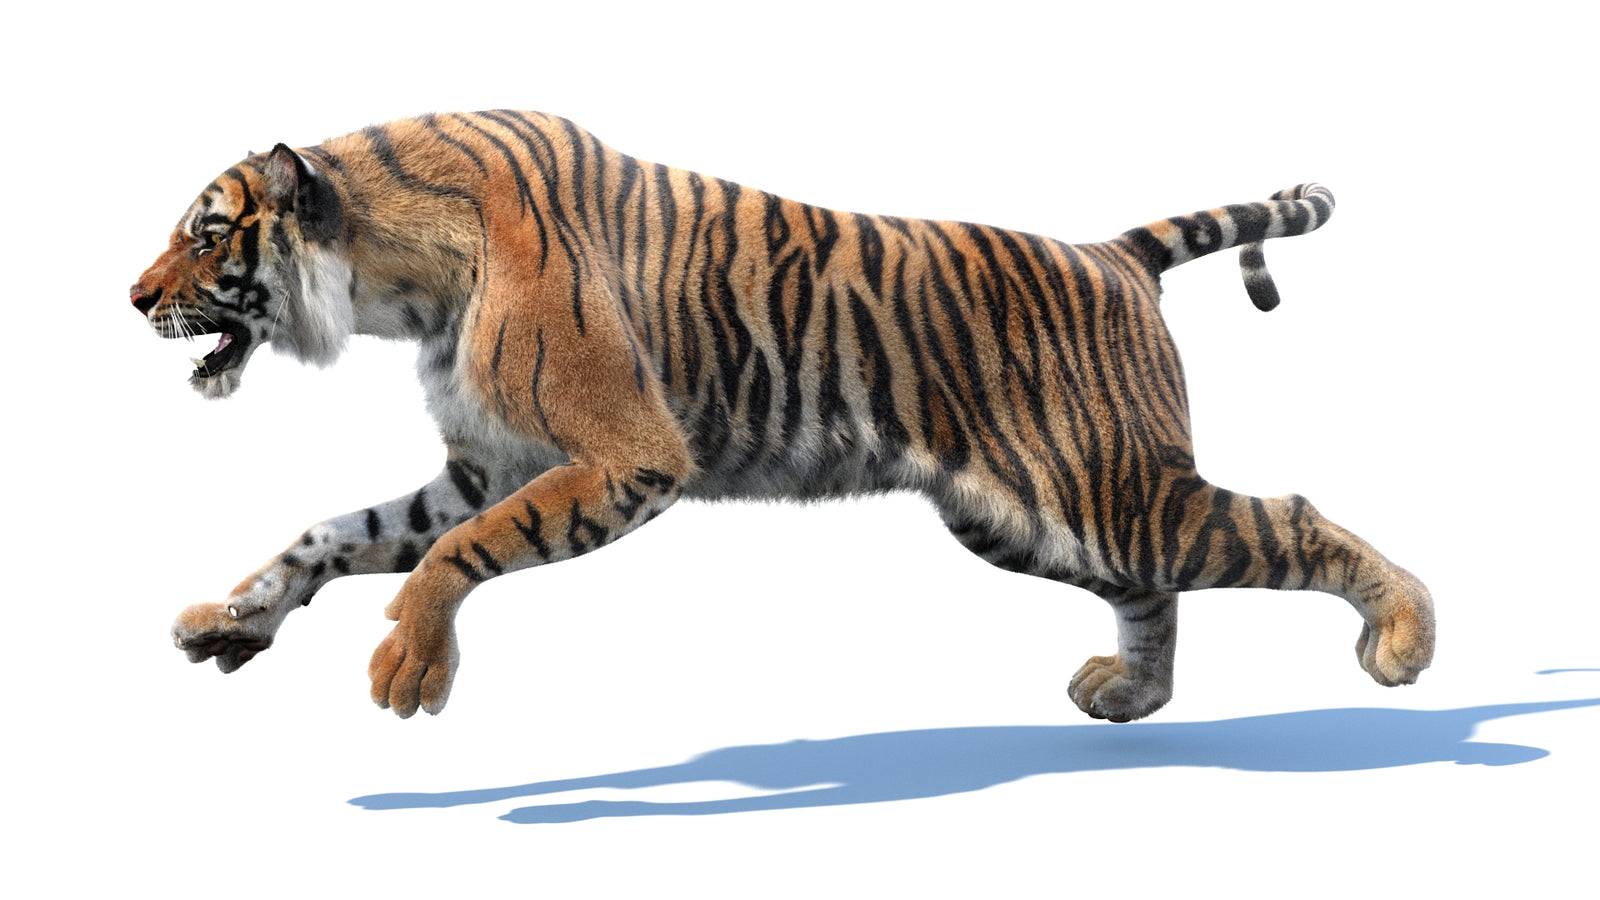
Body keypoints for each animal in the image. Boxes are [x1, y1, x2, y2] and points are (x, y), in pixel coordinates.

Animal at [131, 110, 1435, 722]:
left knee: (1284, 517)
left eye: (206, 236)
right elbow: (337, 533)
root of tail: (1111, 253)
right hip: (1032, 516)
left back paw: (1404, 643)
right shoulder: (488, 462)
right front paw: (231, 622)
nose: (133, 299)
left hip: (1109, 490)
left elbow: (457, 552)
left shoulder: (628, 456)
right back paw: (1129, 699)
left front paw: (412, 661)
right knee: (1154, 589)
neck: (391, 280)